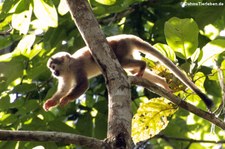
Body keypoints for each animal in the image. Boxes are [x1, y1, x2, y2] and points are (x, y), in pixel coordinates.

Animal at [43, 34, 214, 110]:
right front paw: (52, 102)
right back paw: (161, 82)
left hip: (121, 47)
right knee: (130, 68)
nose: (53, 73)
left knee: (124, 62)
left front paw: (66, 99)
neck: (68, 68)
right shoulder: (65, 75)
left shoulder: (77, 66)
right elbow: (64, 88)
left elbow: (83, 84)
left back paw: (143, 65)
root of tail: (127, 36)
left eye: (54, 66)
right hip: (128, 50)